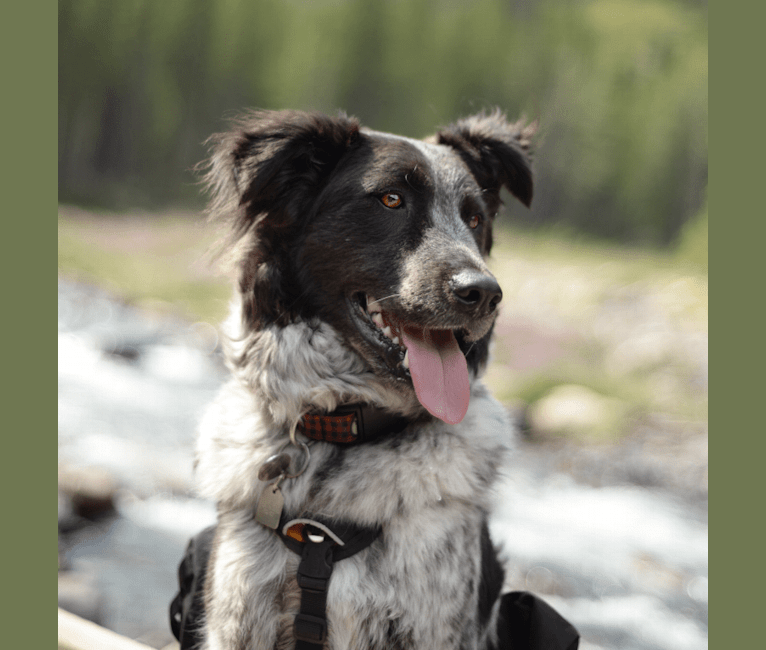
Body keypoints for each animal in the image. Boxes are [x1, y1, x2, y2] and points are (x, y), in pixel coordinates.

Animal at [174, 110, 580, 648]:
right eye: (391, 200)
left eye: (474, 219)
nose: (484, 294)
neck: (341, 429)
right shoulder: (241, 617)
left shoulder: (433, 625)